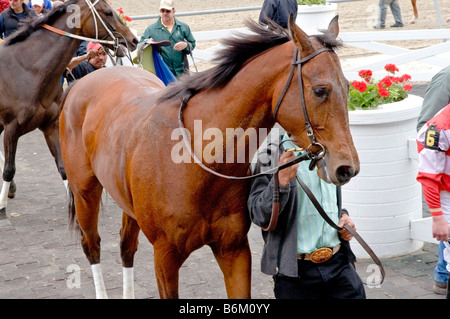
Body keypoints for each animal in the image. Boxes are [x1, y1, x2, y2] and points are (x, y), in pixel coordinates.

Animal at [0, 0, 139, 221]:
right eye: (108, 12)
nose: (133, 39)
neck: (27, 69)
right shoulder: (11, 128)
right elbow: (9, 169)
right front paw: (2, 207)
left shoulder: (50, 125)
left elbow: (63, 168)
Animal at [59, 15, 360, 300]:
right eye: (320, 90)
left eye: (347, 87)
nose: (348, 168)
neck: (198, 163)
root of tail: (80, 84)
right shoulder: (165, 257)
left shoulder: (233, 249)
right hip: (85, 193)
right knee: (92, 245)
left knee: (126, 248)